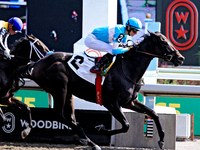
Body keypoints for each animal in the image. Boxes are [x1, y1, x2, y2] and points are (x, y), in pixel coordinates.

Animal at [17, 31, 184, 149]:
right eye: (163, 41)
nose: (180, 58)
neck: (127, 69)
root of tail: (38, 62)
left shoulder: (130, 102)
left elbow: (153, 113)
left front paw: (161, 139)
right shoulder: (111, 103)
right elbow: (126, 125)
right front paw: (101, 129)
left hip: (68, 92)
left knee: (69, 118)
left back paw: (88, 140)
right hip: (60, 89)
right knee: (60, 116)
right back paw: (85, 137)